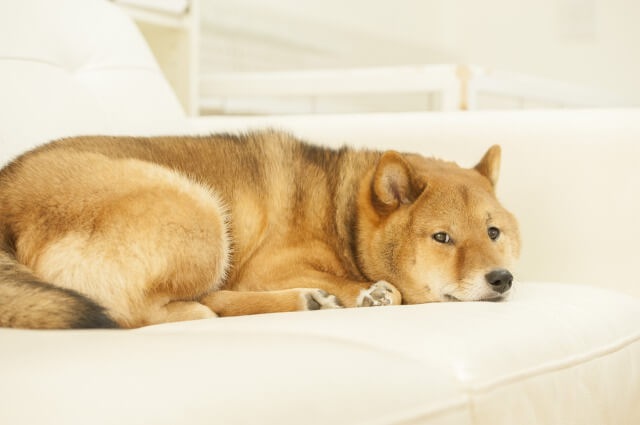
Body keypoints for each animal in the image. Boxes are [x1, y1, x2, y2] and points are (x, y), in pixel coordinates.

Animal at [0, 131, 520, 330]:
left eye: (494, 233)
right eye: (442, 238)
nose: (501, 279)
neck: (341, 214)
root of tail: (9, 193)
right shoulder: (269, 267)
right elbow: (363, 284)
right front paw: (370, 293)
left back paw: (306, 301)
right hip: (202, 214)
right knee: (135, 309)